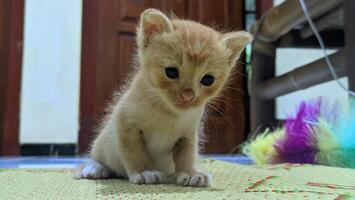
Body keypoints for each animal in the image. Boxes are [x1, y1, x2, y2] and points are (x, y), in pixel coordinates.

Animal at [75, 8, 253, 188]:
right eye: (171, 72)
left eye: (208, 79)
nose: (188, 95)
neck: (167, 113)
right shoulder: (125, 124)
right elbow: (134, 152)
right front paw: (145, 171)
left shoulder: (188, 135)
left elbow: (187, 155)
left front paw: (190, 173)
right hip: (102, 144)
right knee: (94, 158)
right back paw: (94, 167)